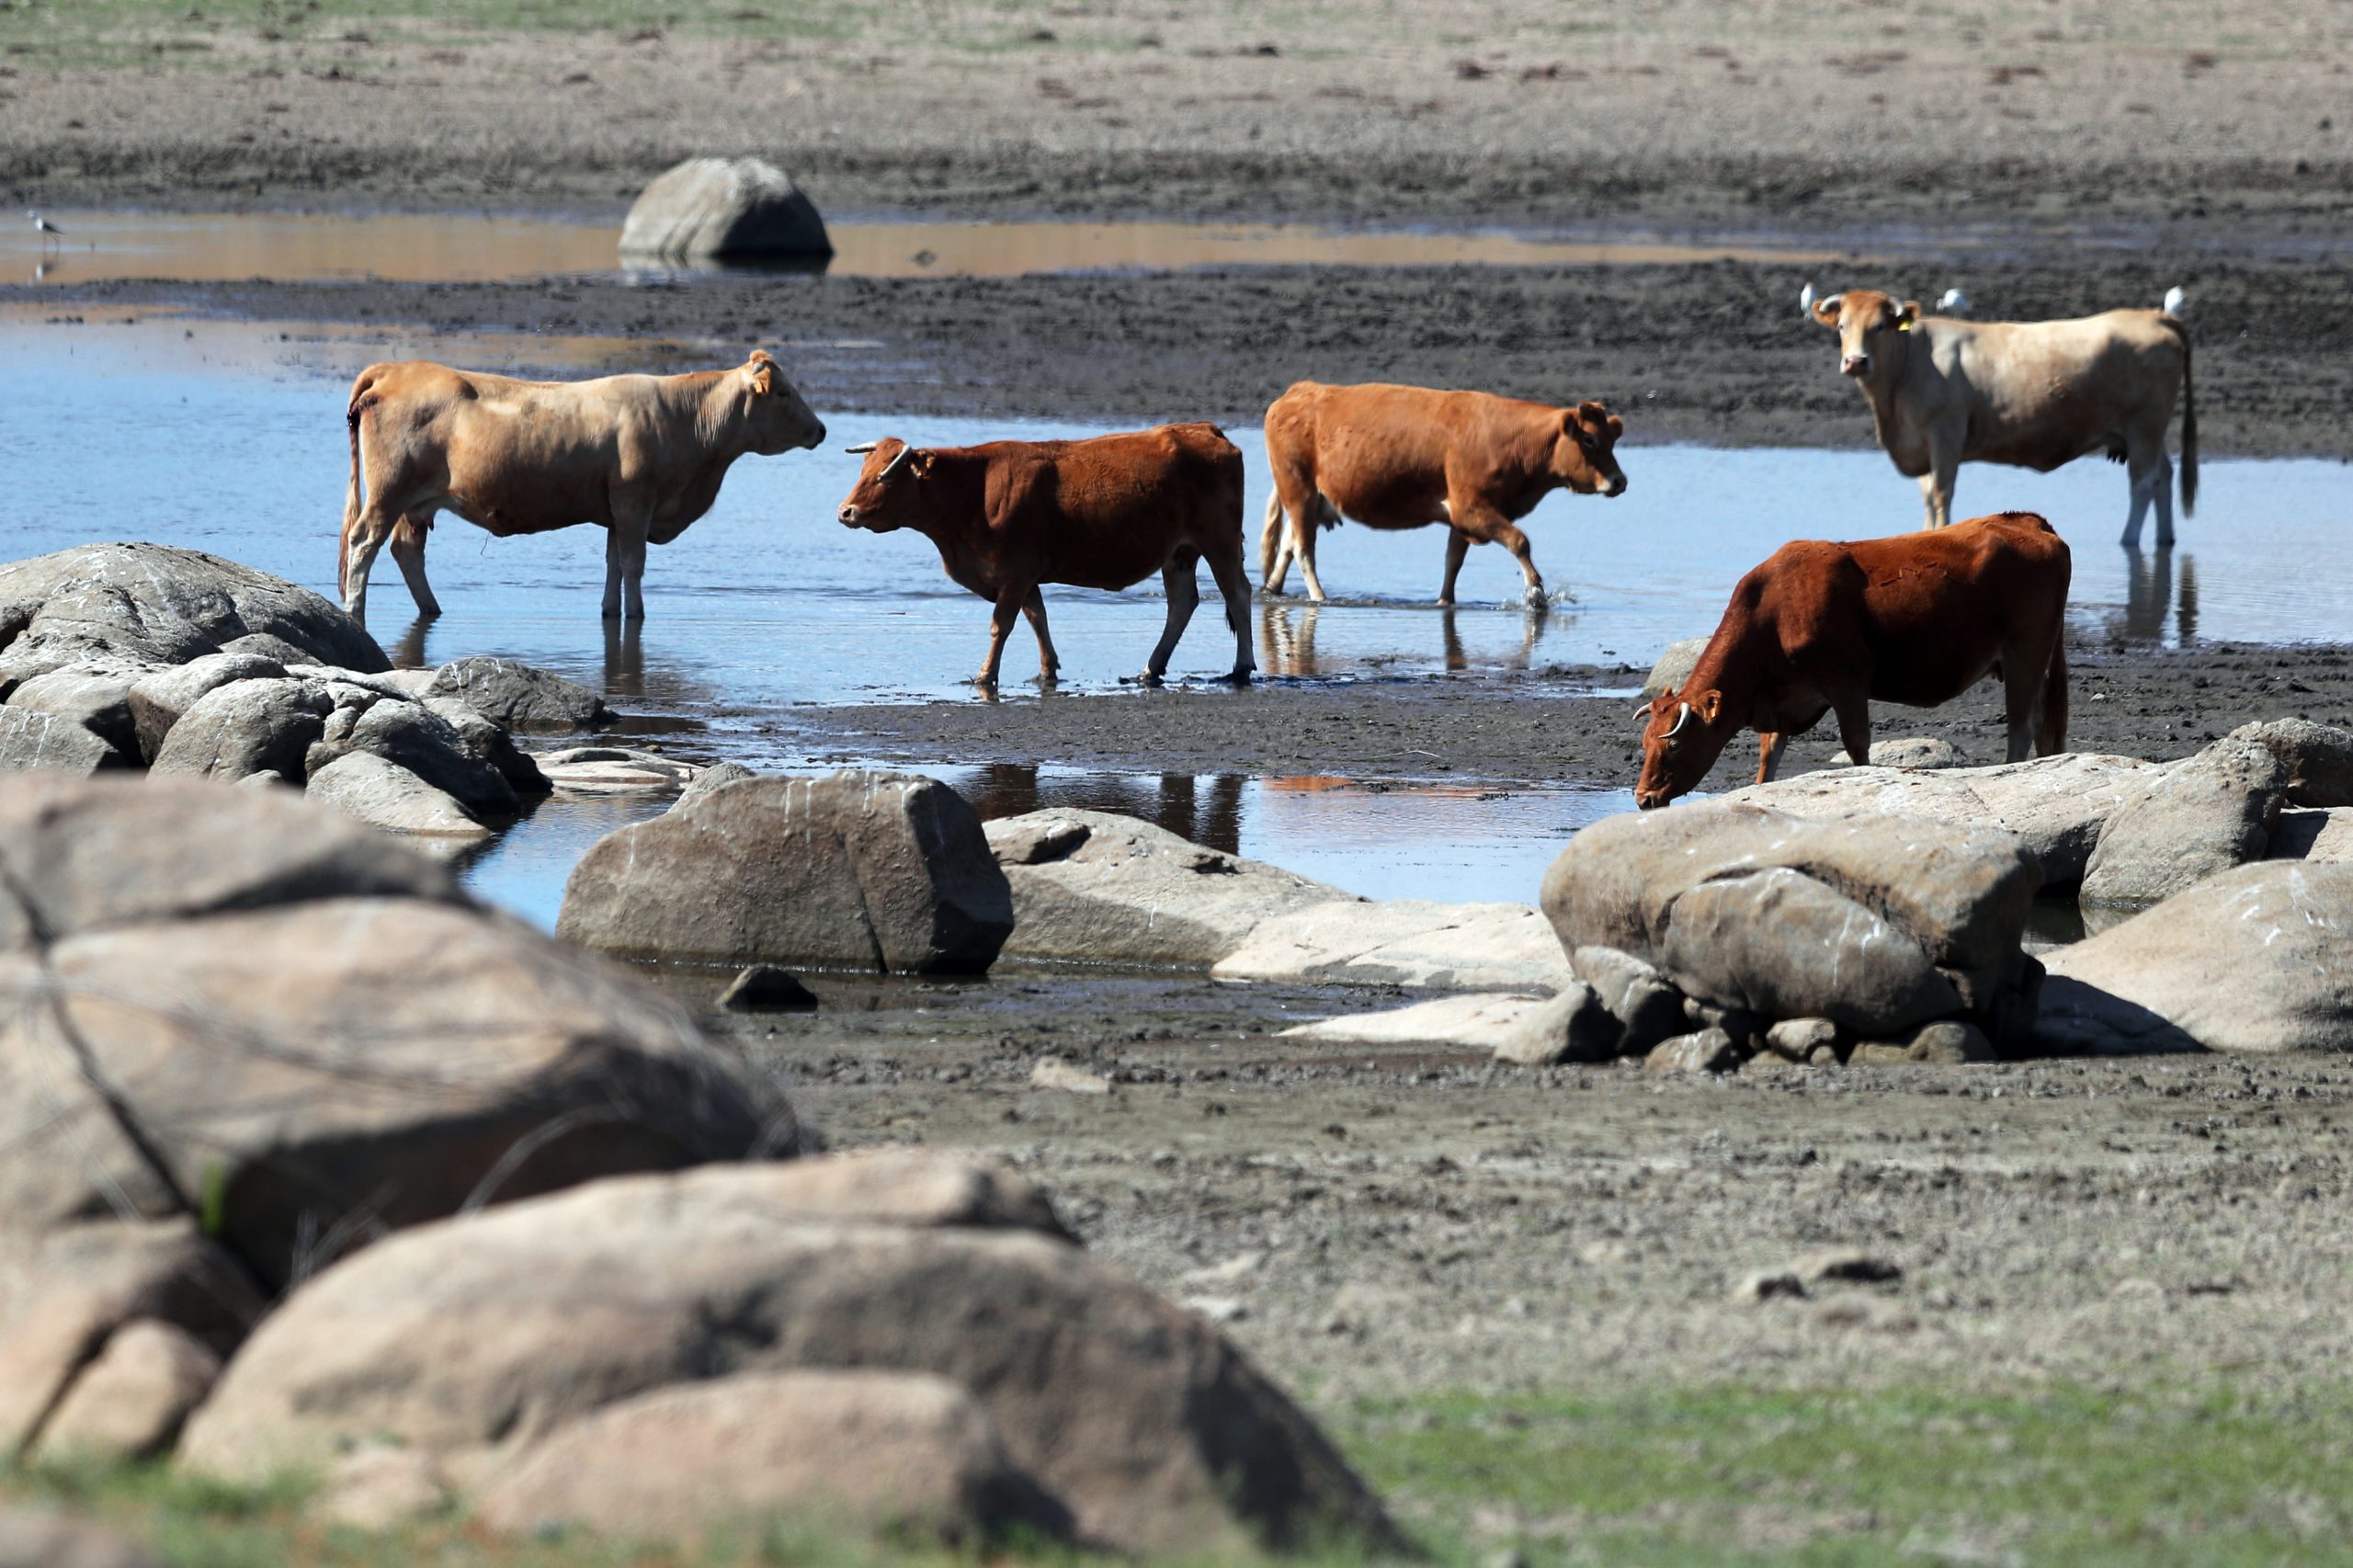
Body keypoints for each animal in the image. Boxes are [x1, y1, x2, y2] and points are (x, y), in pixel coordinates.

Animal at [337, 350, 825, 626]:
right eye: (783, 392)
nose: (820, 429)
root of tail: (395, 369)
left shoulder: (616, 510)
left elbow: (613, 564)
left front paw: (611, 611)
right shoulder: (634, 500)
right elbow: (632, 565)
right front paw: (637, 617)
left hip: (415, 503)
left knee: (406, 550)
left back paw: (431, 609)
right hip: (388, 492)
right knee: (364, 543)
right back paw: (356, 613)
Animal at [834, 423, 1253, 688]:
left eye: (886, 476)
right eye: (863, 469)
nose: (846, 511)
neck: (973, 491)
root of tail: (1204, 428)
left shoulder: (1016, 571)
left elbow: (1001, 624)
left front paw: (986, 675)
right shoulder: (1023, 574)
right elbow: (1037, 618)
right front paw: (1048, 670)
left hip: (1220, 541)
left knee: (1237, 594)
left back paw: (1241, 667)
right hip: (1179, 552)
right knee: (1182, 603)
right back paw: (1151, 669)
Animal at [1259, 381, 1628, 609]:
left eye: (1613, 440)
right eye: (1590, 440)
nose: (1619, 481)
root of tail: (1301, 390)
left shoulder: (1461, 517)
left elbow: (1453, 561)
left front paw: (1444, 601)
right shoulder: (1471, 508)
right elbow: (1519, 541)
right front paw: (1536, 593)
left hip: (1310, 496)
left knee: (1289, 544)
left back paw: (1272, 588)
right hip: (1298, 489)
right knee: (1304, 549)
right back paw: (1319, 597)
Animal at [1632, 511, 2070, 810]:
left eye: (1674, 745)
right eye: (1645, 742)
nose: (1642, 798)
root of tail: (2030, 522)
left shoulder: (1847, 680)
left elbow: (1857, 745)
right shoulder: (1782, 703)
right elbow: (1768, 759)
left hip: (2025, 651)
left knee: (2022, 726)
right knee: (2044, 727)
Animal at [1806, 284, 2195, 548]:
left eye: (1880, 326)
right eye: (1842, 326)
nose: (1856, 361)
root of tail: (2154, 316)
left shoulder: (1945, 433)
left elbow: (1941, 493)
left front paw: (1939, 534)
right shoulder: (1921, 442)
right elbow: (1927, 495)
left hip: (2144, 425)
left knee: (2143, 482)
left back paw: (2128, 540)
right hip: (2146, 431)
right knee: (2164, 474)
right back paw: (2165, 539)